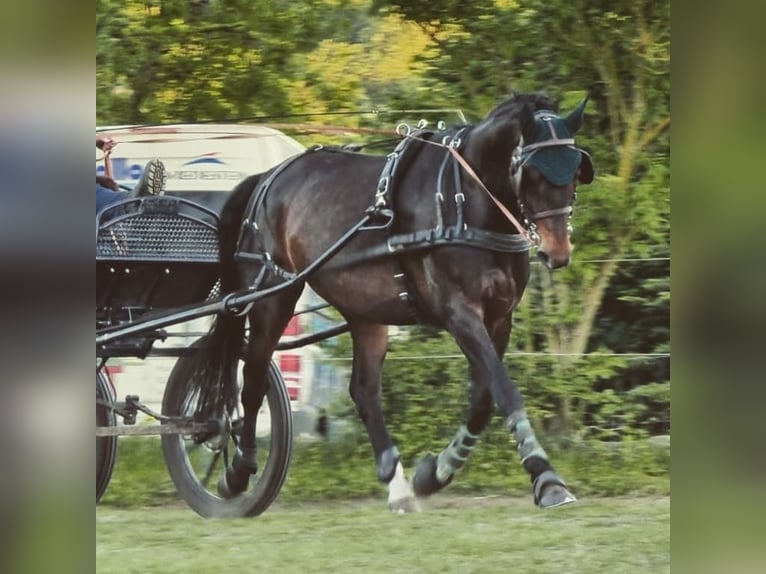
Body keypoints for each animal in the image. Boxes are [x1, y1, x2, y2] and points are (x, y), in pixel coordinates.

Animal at [190, 92, 592, 516]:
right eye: (531, 173)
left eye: (576, 170)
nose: (556, 252)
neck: (466, 200)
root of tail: (267, 179)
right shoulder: (459, 312)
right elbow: (505, 390)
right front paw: (546, 477)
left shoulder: (500, 317)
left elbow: (484, 399)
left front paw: (435, 472)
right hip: (272, 292)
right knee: (252, 379)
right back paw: (237, 472)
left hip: (365, 312)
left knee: (364, 392)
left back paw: (396, 484)